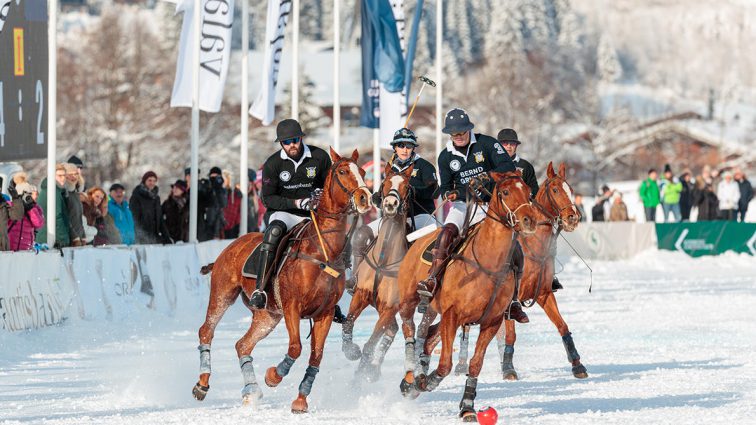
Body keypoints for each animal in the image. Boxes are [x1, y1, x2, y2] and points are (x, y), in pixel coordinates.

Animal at [192, 147, 372, 412]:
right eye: (342, 171)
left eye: (362, 172)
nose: (365, 198)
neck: (322, 250)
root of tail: (230, 247)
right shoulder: (292, 306)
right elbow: (295, 348)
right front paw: (273, 376)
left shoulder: (325, 312)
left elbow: (316, 356)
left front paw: (300, 400)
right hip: (223, 293)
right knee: (207, 330)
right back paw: (202, 384)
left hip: (268, 315)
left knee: (242, 345)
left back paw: (251, 391)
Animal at [342, 161, 416, 380]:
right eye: (385, 182)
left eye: (407, 187)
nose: (390, 204)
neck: (384, 261)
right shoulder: (361, 294)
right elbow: (348, 323)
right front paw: (351, 351)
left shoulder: (390, 307)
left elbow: (370, 345)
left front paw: (360, 375)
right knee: (395, 329)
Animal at [396, 171, 536, 420]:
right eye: (505, 192)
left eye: (529, 192)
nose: (529, 220)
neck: (488, 262)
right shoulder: (453, 314)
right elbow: (445, 365)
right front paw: (424, 382)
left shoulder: (491, 321)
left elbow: (475, 364)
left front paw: (468, 407)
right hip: (409, 299)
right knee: (410, 328)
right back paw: (411, 372)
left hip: (436, 311)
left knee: (429, 335)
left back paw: (417, 373)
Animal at [452, 161, 588, 380]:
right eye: (555, 189)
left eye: (571, 190)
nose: (573, 218)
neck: (534, 246)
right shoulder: (510, 302)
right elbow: (511, 335)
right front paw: (508, 368)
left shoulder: (543, 293)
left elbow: (562, 325)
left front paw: (577, 364)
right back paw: (462, 364)